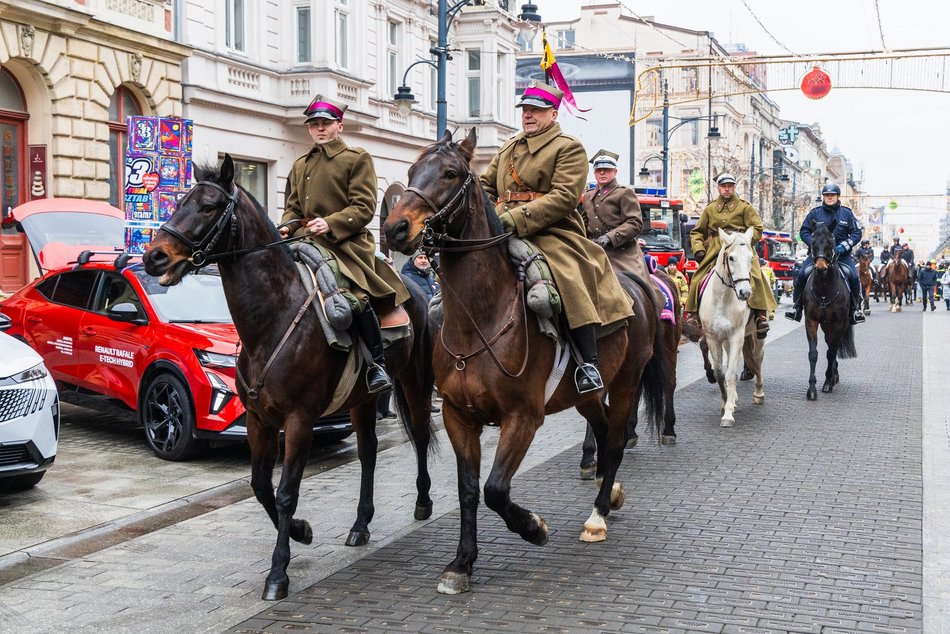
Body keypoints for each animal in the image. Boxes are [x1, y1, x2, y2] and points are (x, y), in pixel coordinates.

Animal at [142, 156, 438, 600]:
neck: (272, 321)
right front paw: (301, 532)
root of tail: (414, 293)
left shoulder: (299, 421)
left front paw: (278, 572)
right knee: (368, 451)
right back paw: (360, 525)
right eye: (179, 202)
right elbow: (260, 486)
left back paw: (422, 501)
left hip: (414, 381)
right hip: (362, 399)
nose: (154, 257)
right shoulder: (259, 421)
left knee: (418, 434)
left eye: (209, 206)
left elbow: (285, 493)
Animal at [382, 128, 668, 592]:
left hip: (626, 383)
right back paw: (610, 492)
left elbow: (496, 489)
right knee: (605, 432)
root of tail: (637, 283)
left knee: (615, 440)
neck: (482, 318)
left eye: (450, 173)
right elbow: (468, 490)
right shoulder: (459, 417)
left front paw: (534, 527)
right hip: (586, 394)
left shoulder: (523, 417)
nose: (394, 227)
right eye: (410, 171)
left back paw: (597, 516)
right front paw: (461, 563)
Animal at [696, 225, 768, 428]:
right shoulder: (713, 338)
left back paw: (758, 394)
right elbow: (721, 373)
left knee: (758, 359)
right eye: (731, 258)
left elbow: (730, 374)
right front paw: (725, 402)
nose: (745, 293)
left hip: (756, 336)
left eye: (751, 258)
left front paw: (728, 414)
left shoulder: (736, 336)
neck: (723, 298)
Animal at [800, 225, 860, 398]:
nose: (820, 267)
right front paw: (812, 389)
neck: (824, 289)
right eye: (813, 241)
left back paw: (833, 376)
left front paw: (827, 382)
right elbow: (813, 354)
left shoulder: (838, 323)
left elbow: (831, 353)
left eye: (831, 241)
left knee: (834, 347)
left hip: (839, 326)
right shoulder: (811, 321)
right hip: (826, 326)